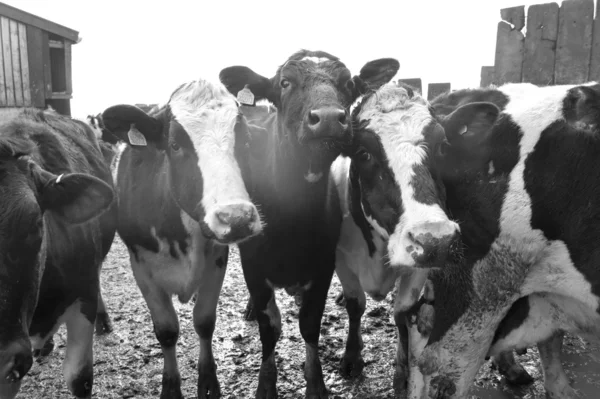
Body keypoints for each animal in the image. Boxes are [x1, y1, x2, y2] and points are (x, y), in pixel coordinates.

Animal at [101, 79, 264, 399]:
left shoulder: (217, 259)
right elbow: (166, 331)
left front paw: (209, 382)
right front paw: (171, 388)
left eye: (246, 140)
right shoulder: (141, 266)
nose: (236, 217)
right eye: (175, 145)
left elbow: (204, 322)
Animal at [218, 50, 400, 399]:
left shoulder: (322, 265)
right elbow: (270, 328)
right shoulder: (253, 265)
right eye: (285, 82)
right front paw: (266, 384)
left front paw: (315, 384)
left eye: (347, 84)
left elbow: (310, 325)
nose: (328, 118)